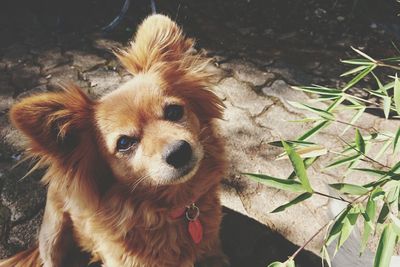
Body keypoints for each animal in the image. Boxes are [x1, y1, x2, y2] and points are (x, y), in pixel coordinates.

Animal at [0, 14, 230, 267]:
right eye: (124, 143)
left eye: (174, 112)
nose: (180, 151)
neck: (172, 209)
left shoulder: (214, 253)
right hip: (53, 236)